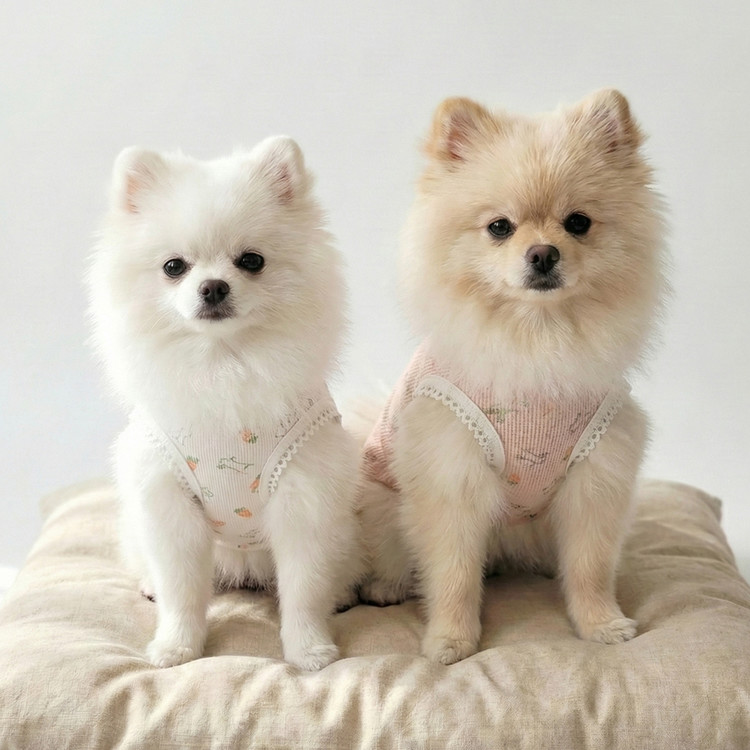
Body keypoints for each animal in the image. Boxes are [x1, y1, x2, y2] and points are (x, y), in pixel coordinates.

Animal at [88, 136, 362, 670]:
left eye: (251, 261)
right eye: (174, 267)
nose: (213, 286)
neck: (223, 365)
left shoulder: (304, 500)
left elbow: (304, 589)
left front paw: (309, 650)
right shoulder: (170, 506)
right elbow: (181, 591)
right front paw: (177, 646)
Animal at [358, 89, 666, 665]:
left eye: (578, 222)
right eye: (499, 227)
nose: (542, 253)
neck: (536, 338)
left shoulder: (597, 474)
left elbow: (590, 567)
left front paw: (601, 623)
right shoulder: (451, 476)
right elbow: (454, 575)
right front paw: (451, 640)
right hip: (384, 501)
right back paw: (385, 586)